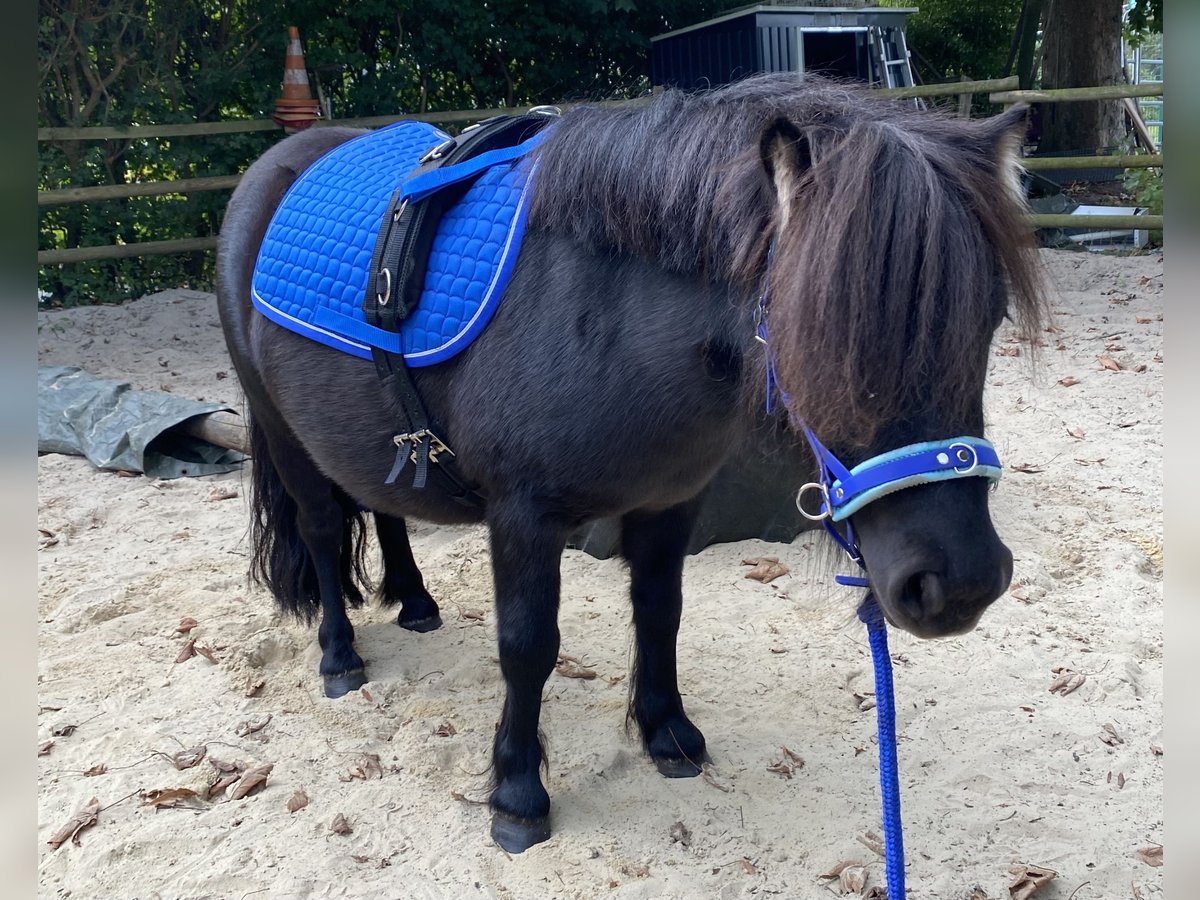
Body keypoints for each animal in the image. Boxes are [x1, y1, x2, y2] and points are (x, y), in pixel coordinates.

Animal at [216, 75, 1041, 854]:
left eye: (989, 320)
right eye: (820, 332)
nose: (960, 582)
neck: (609, 312)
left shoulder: (670, 505)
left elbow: (660, 612)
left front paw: (666, 731)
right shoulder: (524, 517)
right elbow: (528, 647)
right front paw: (518, 795)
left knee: (384, 504)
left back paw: (416, 602)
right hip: (285, 434)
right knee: (323, 531)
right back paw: (338, 657)